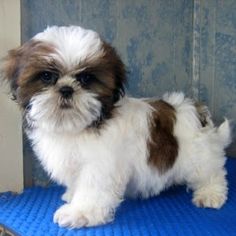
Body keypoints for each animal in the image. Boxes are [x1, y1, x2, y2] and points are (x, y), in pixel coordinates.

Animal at [0, 26, 231, 229]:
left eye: (86, 79)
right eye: (47, 77)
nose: (66, 89)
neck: (79, 126)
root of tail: (197, 111)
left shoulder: (100, 165)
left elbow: (92, 188)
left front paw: (79, 212)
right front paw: (72, 196)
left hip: (198, 155)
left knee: (211, 173)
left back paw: (210, 193)